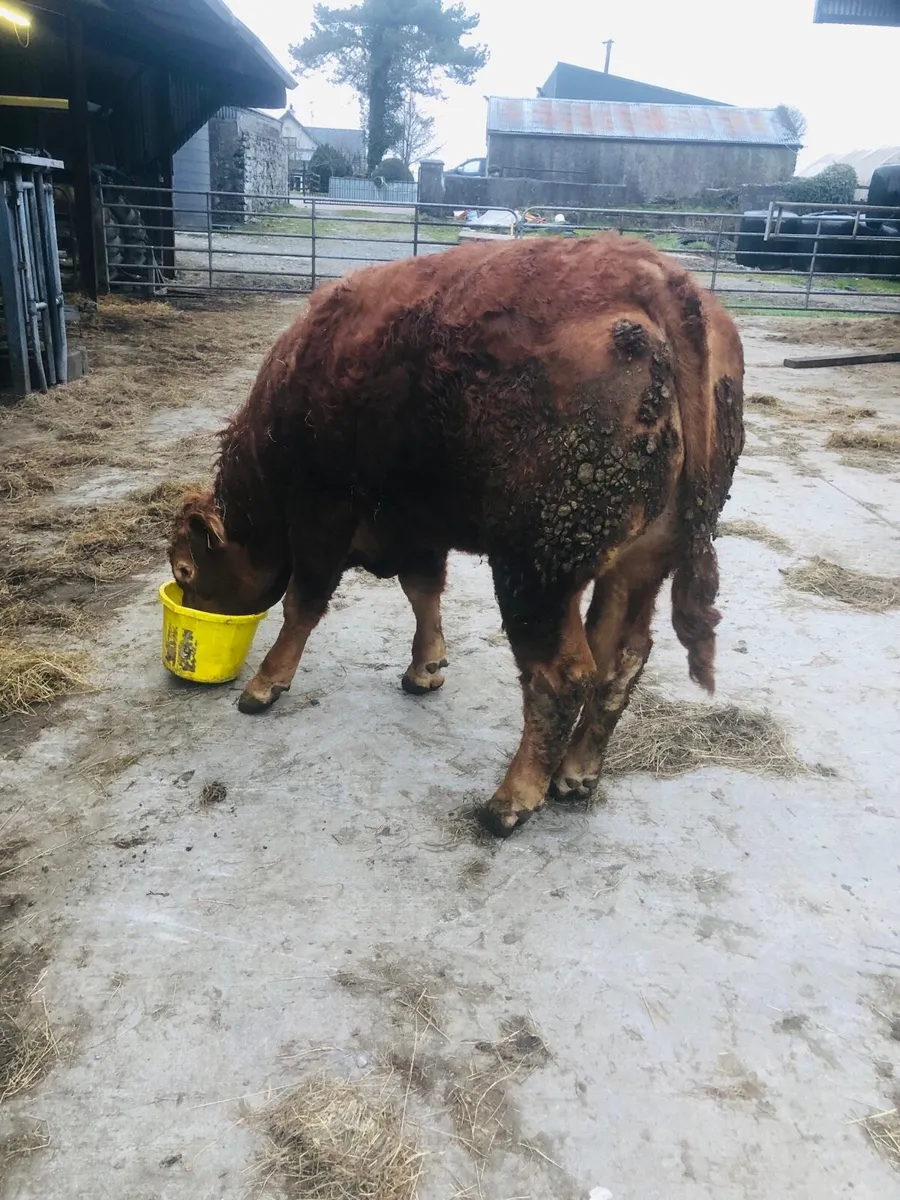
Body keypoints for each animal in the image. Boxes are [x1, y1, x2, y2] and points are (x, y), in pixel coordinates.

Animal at [169, 234, 744, 837]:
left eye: (185, 569)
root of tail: (654, 275)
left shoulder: (322, 516)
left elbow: (304, 604)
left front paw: (264, 684)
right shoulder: (417, 525)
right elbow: (423, 591)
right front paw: (425, 669)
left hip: (536, 571)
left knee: (561, 678)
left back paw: (510, 802)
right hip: (637, 566)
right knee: (620, 661)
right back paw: (575, 775)